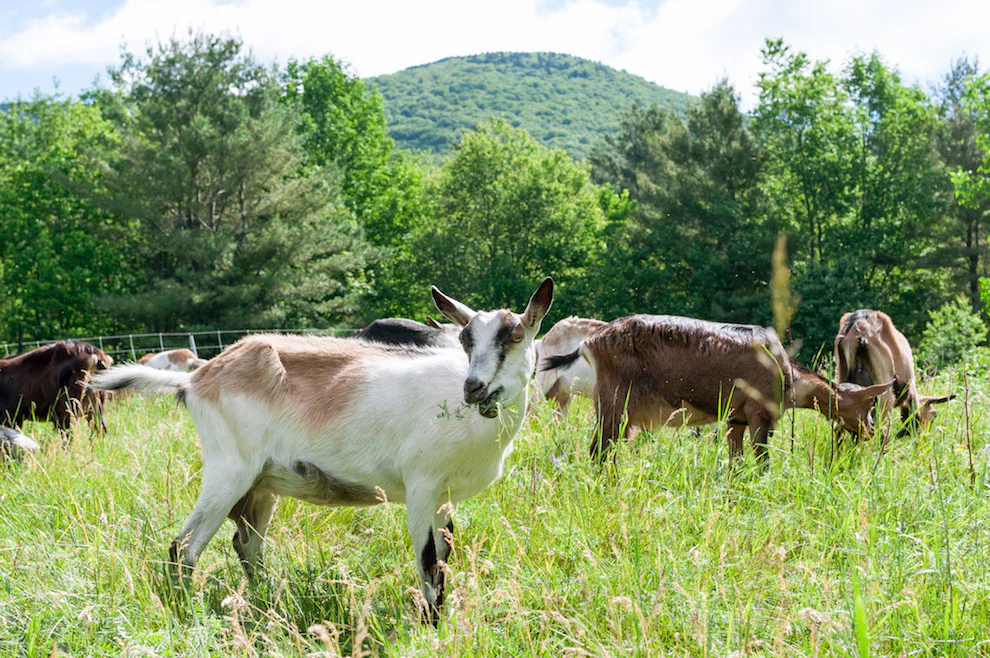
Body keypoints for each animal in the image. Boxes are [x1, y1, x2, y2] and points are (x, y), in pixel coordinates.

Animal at [91, 278, 553, 621]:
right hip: (229, 470)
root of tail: (195, 379)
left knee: (247, 545)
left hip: (262, 484)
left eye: (516, 335)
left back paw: (267, 604)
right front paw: (429, 628)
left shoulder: (444, 497)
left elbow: (443, 558)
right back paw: (187, 613)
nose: (474, 387)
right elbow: (426, 560)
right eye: (464, 338)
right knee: (183, 548)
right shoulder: (421, 486)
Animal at [542, 315, 892, 463]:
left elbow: (736, 460)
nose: (872, 431)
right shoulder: (760, 413)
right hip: (614, 399)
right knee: (599, 449)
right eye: (869, 406)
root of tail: (589, 342)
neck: (788, 374)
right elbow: (761, 459)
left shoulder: (736, 418)